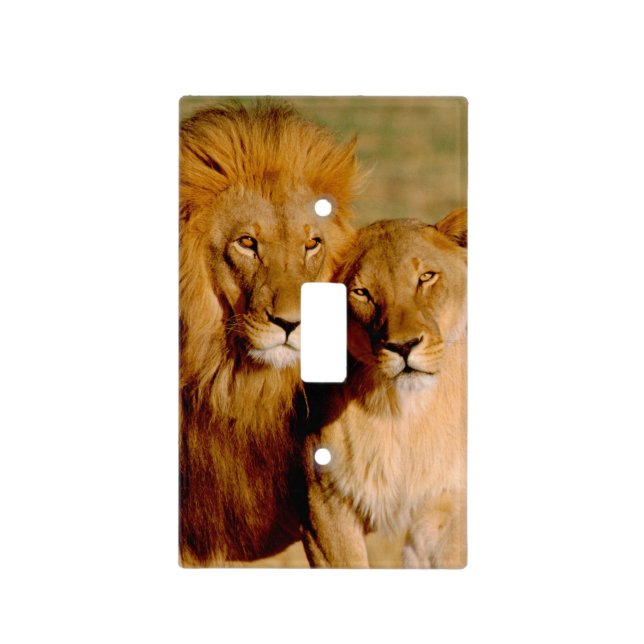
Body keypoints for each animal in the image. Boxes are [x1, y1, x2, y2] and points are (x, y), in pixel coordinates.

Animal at [302, 208, 467, 568]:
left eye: (426, 277)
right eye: (362, 293)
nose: (403, 346)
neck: (403, 412)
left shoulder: (446, 508)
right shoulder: (324, 506)